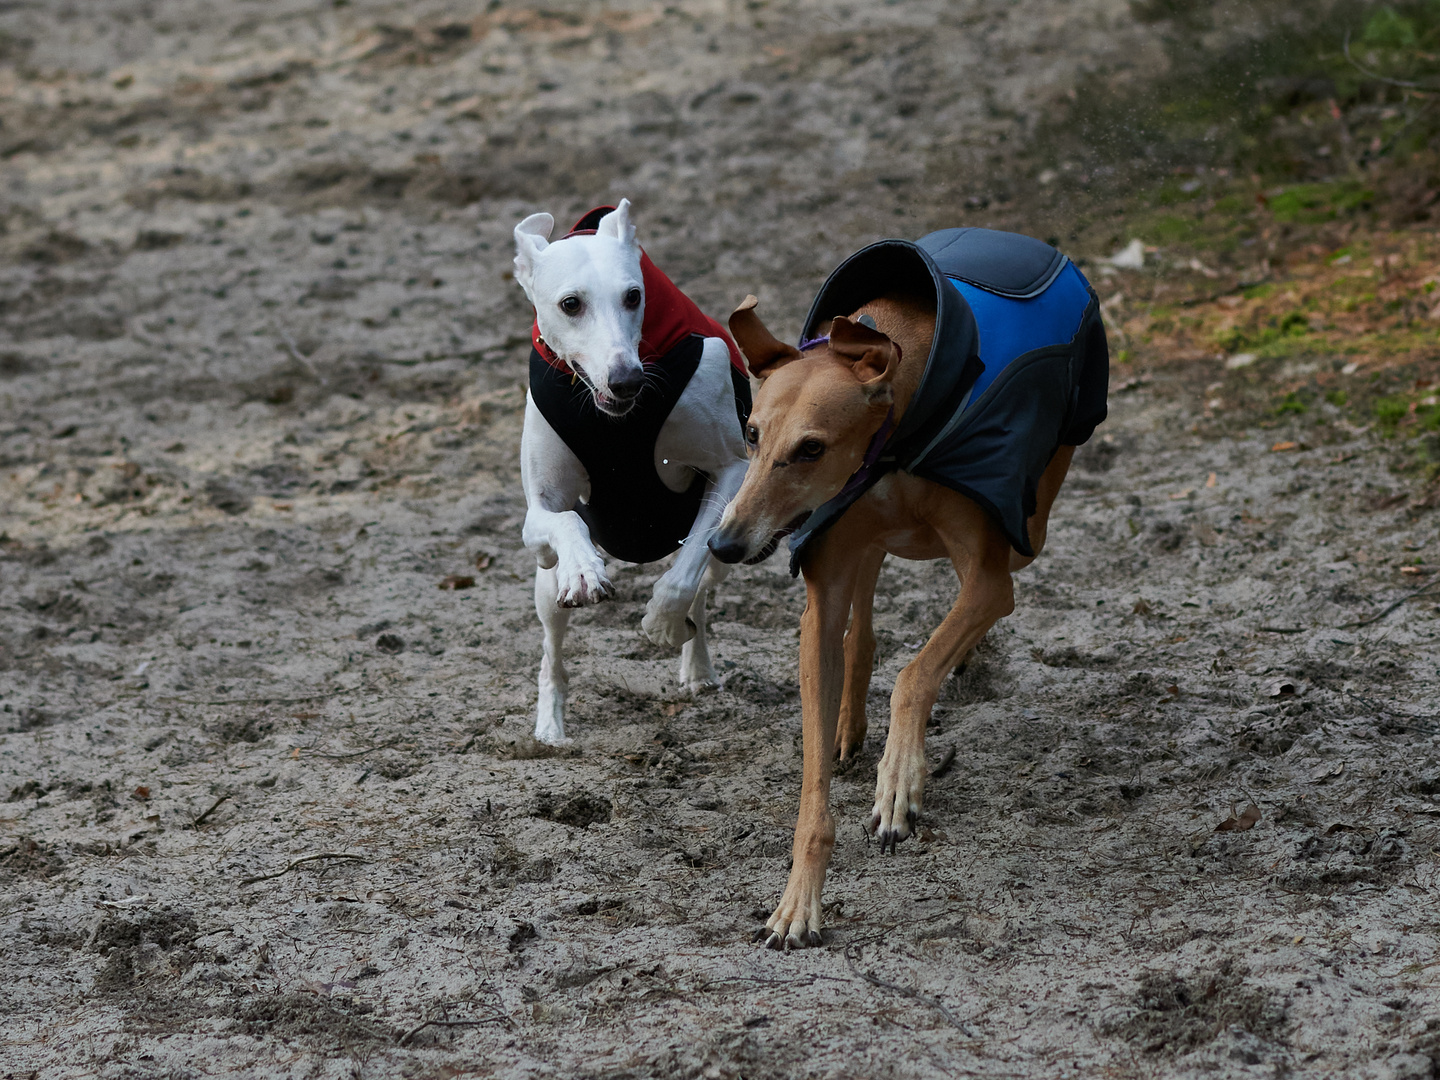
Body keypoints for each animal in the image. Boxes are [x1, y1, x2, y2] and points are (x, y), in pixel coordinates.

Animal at [509, 201, 754, 743]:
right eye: (571, 304)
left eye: (633, 296)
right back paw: (550, 727)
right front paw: (584, 568)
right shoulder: (537, 519)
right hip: (545, 592)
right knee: (552, 652)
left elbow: (681, 584)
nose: (627, 380)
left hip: (724, 546)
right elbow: (563, 520)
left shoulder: (731, 470)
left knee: (701, 579)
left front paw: (663, 623)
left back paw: (696, 665)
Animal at [714, 230, 1105, 944]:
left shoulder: (990, 581)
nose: (723, 545)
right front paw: (797, 904)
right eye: (751, 433)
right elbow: (814, 780)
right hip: (861, 547)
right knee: (863, 629)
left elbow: (916, 672)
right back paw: (851, 725)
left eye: (811, 448)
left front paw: (898, 782)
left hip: (1029, 523)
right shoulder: (824, 588)